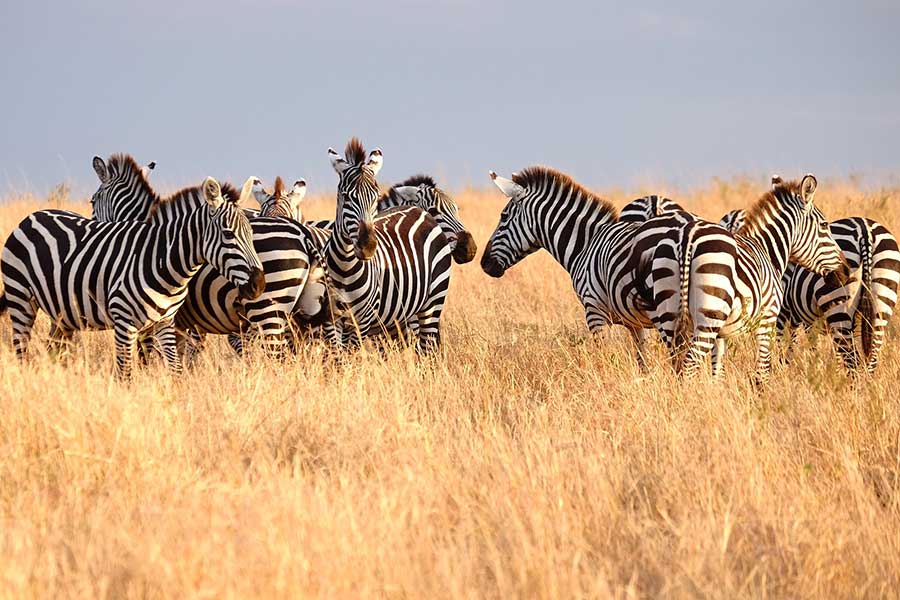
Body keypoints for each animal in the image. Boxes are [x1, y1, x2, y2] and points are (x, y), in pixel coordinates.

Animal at [1, 176, 264, 378]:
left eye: (251, 233)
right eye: (228, 234)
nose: (259, 284)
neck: (162, 260)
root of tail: (31, 217)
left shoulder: (164, 322)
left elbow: (175, 371)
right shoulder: (124, 322)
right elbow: (126, 373)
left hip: (62, 313)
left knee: (54, 351)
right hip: (21, 300)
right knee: (22, 352)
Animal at [320, 137, 454, 352]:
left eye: (375, 196)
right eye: (346, 197)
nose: (367, 246)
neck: (344, 268)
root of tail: (419, 211)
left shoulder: (363, 320)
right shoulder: (331, 319)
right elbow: (337, 357)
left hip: (433, 302)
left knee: (427, 349)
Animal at [478, 166, 696, 368]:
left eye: (504, 216)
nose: (484, 263)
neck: (585, 244)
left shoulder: (594, 310)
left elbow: (605, 357)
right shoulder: (634, 320)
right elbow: (642, 361)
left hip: (665, 310)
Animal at [636, 173, 848, 380]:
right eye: (824, 225)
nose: (845, 271)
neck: (767, 250)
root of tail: (687, 236)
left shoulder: (721, 335)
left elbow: (717, 371)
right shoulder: (768, 318)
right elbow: (763, 370)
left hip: (669, 312)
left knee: (677, 363)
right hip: (709, 316)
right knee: (689, 364)